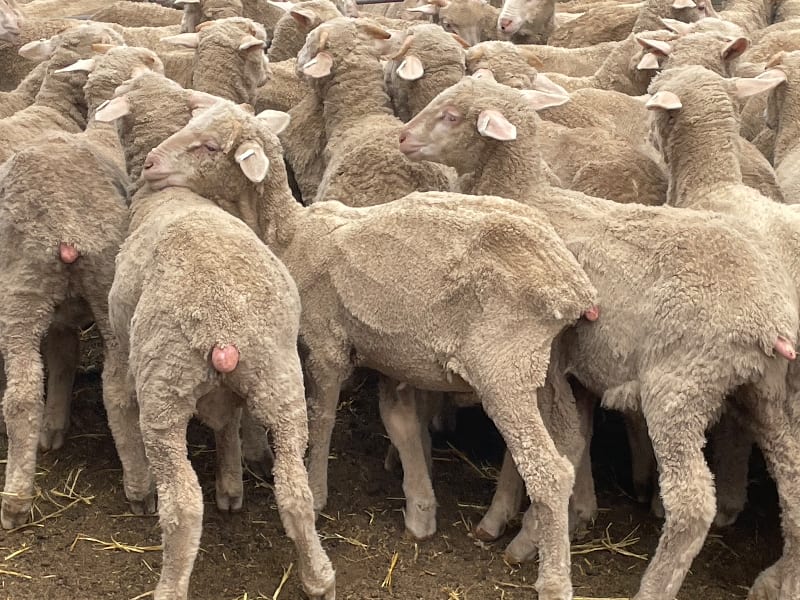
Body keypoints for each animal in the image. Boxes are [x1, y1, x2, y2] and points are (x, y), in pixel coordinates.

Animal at [0, 45, 166, 530]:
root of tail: (64, 229)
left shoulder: (58, 313)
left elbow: (62, 357)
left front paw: (54, 426)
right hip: (107, 290)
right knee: (119, 392)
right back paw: (140, 487)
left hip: (22, 292)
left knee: (21, 394)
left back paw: (15, 499)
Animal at [93, 79, 335, 600]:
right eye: (188, 123)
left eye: (207, 146)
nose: (151, 165)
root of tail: (221, 328)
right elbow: (228, 422)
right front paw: (231, 487)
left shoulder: (122, 345)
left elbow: (116, 399)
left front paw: (138, 489)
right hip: (279, 381)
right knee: (294, 490)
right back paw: (319, 577)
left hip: (163, 393)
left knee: (183, 507)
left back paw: (169, 585)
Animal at [138, 96, 601, 597]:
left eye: (208, 146)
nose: (149, 164)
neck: (291, 235)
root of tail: (570, 283)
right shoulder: (394, 357)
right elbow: (400, 424)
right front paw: (420, 510)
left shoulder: (325, 346)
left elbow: (321, 418)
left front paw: (318, 492)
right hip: (545, 367)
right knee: (569, 444)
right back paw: (519, 531)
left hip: (503, 368)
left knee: (549, 470)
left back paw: (550, 577)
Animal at [398, 74, 800, 600]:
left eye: (450, 115)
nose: (402, 137)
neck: (527, 194)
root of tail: (765, 320)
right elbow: (565, 441)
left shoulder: (542, 361)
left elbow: (551, 445)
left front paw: (518, 530)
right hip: (764, 391)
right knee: (793, 476)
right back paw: (780, 579)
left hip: (679, 390)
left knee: (693, 503)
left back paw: (654, 586)